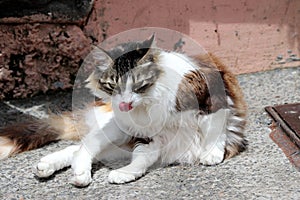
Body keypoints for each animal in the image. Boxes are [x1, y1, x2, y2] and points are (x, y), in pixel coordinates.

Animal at [0, 35, 247, 187]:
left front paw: (212, 153)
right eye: (113, 85)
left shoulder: (214, 94)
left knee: (78, 148)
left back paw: (52, 167)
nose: (124, 103)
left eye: (138, 84)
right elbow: (143, 157)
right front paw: (126, 174)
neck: (151, 100)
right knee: (82, 147)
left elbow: (215, 126)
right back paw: (75, 173)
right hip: (116, 130)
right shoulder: (148, 136)